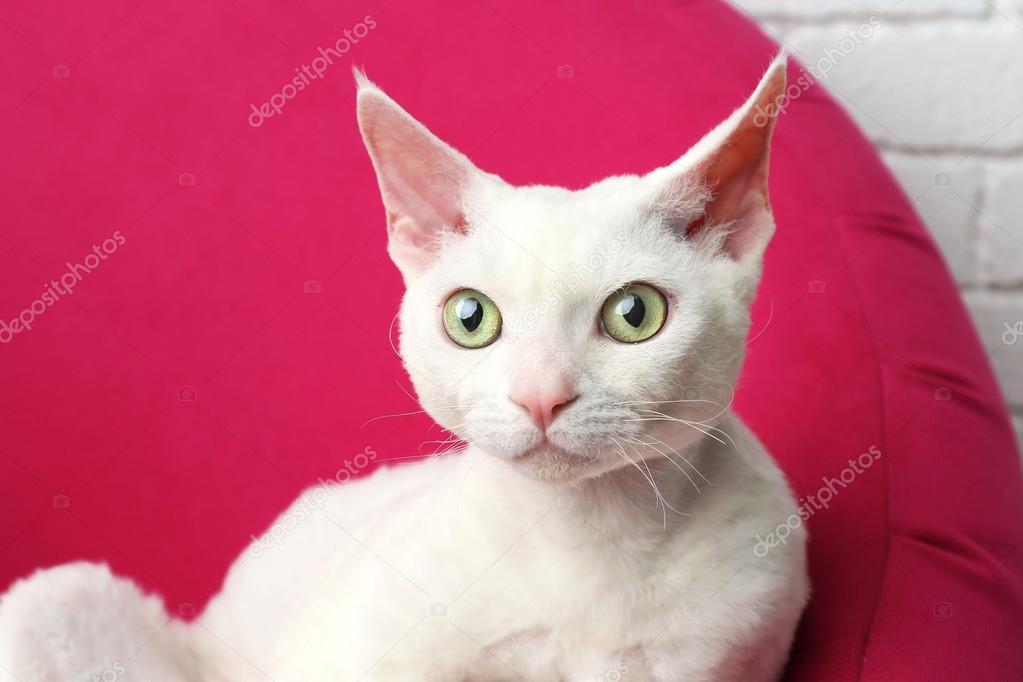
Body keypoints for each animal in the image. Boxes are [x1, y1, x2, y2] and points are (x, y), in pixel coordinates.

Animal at [0, 58, 806, 682]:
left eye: (634, 314)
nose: (540, 397)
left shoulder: (738, 634)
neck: (588, 543)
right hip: (57, 605)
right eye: (471, 317)